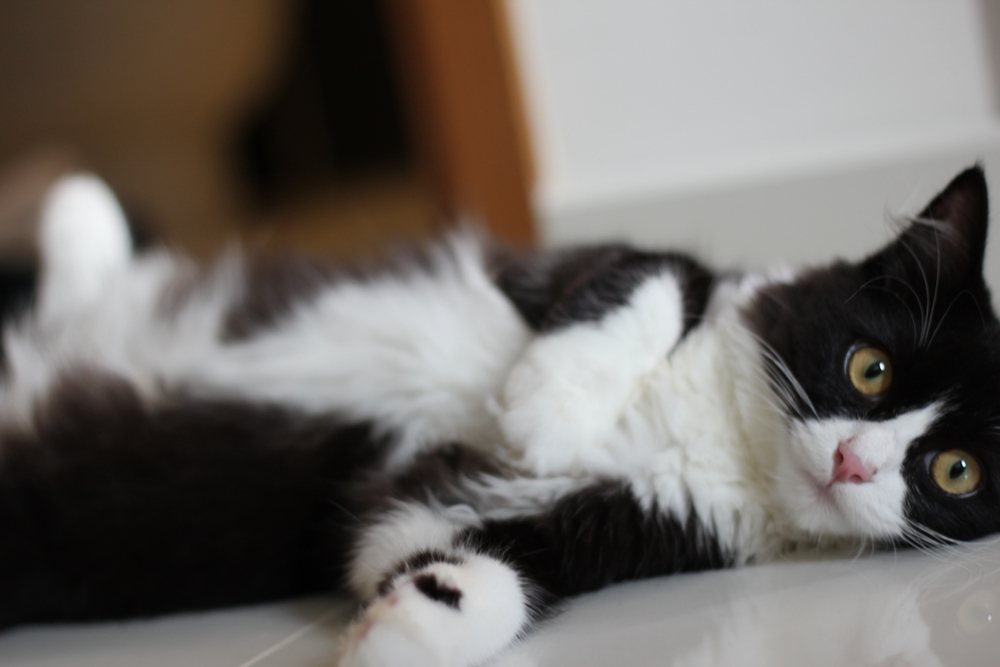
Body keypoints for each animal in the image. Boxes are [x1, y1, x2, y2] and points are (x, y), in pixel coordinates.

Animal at [0, 168, 996, 667]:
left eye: (955, 472)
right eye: (869, 368)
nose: (854, 463)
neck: (722, 431)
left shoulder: (596, 518)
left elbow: (467, 565)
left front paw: (399, 631)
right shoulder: (585, 267)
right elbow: (658, 272)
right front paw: (549, 401)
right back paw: (79, 213)